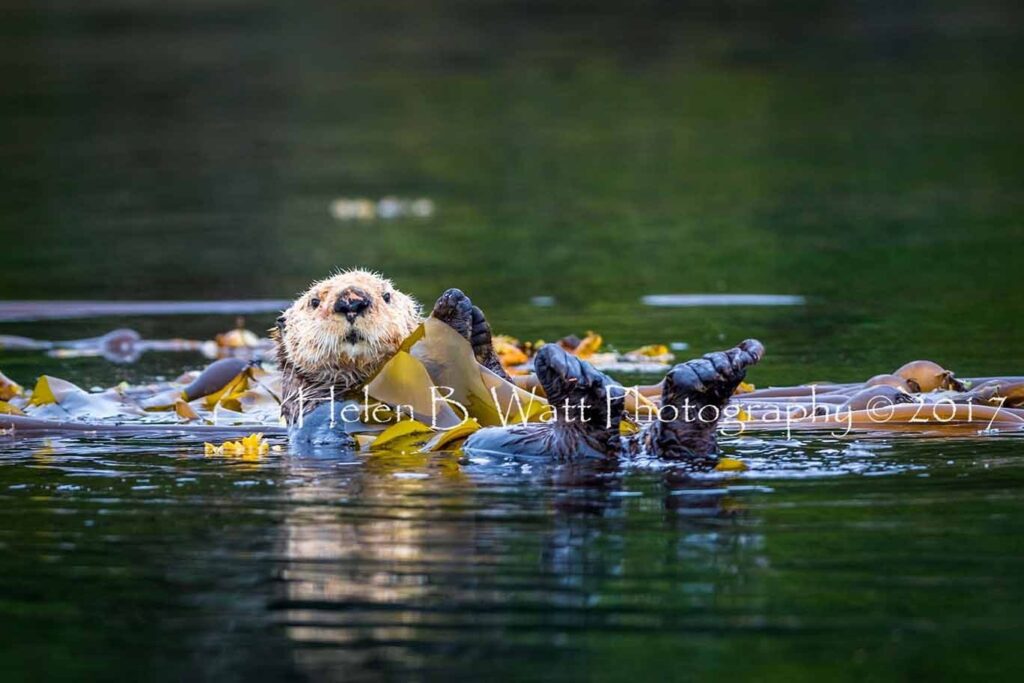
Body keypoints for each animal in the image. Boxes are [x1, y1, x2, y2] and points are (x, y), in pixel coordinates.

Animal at [276, 270, 765, 462]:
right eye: (315, 300)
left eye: (386, 295)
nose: (352, 300)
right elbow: (336, 417)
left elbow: (495, 375)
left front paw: (461, 315)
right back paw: (579, 386)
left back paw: (711, 375)